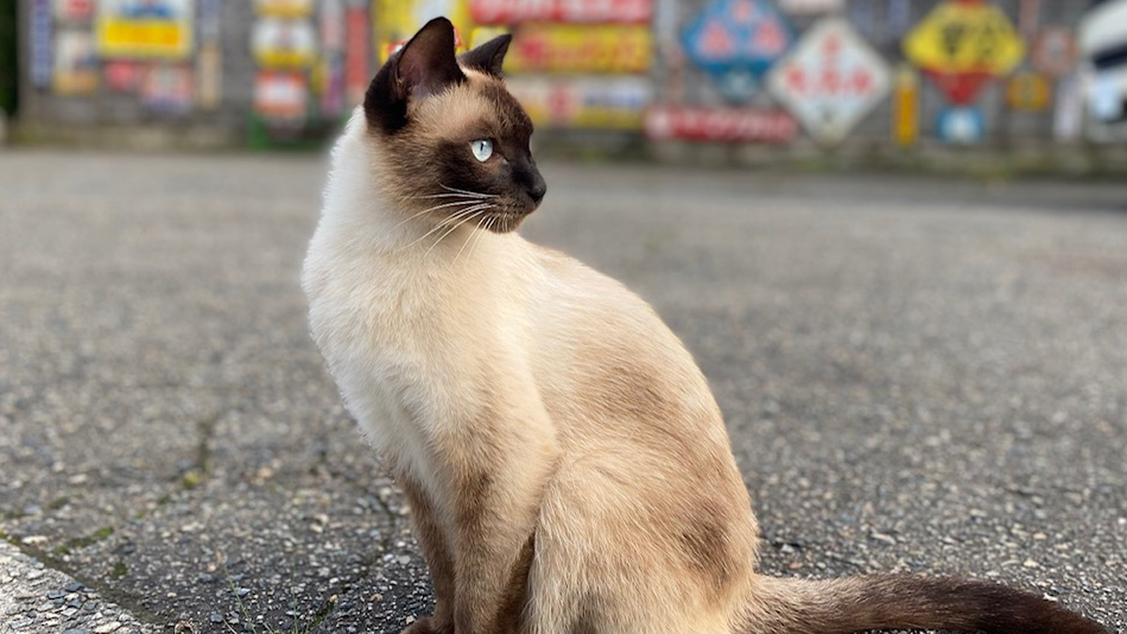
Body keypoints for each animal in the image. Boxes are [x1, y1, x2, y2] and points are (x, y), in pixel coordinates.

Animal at [304, 18, 1113, 634]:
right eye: (483, 151)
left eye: (528, 148)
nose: (540, 190)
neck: (386, 247)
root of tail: (740, 590)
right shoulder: (412, 453)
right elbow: (448, 574)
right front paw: (429, 630)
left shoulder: (498, 460)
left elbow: (482, 594)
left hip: (578, 484)